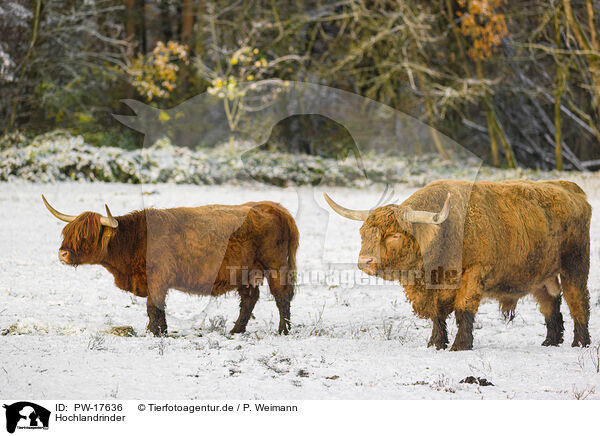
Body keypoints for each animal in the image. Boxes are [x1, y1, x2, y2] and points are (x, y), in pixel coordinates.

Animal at [42, 196, 300, 336]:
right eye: (68, 232)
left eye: (86, 236)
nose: (63, 253)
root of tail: (271, 206)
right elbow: (158, 308)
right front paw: (160, 331)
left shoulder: (158, 279)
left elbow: (153, 307)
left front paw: (154, 333)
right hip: (246, 272)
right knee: (249, 300)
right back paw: (236, 330)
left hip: (276, 266)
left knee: (281, 296)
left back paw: (283, 330)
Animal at [324, 181, 592, 350]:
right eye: (364, 233)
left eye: (394, 235)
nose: (365, 261)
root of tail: (571, 189)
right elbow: (437, 315)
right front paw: (435, 343)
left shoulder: (474, 273)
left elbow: (464, 309)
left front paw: (461, 345)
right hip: (540, 274)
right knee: (550, 304)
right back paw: (551, 341)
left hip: (575, 265)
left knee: (577, 301)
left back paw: (580, 342)